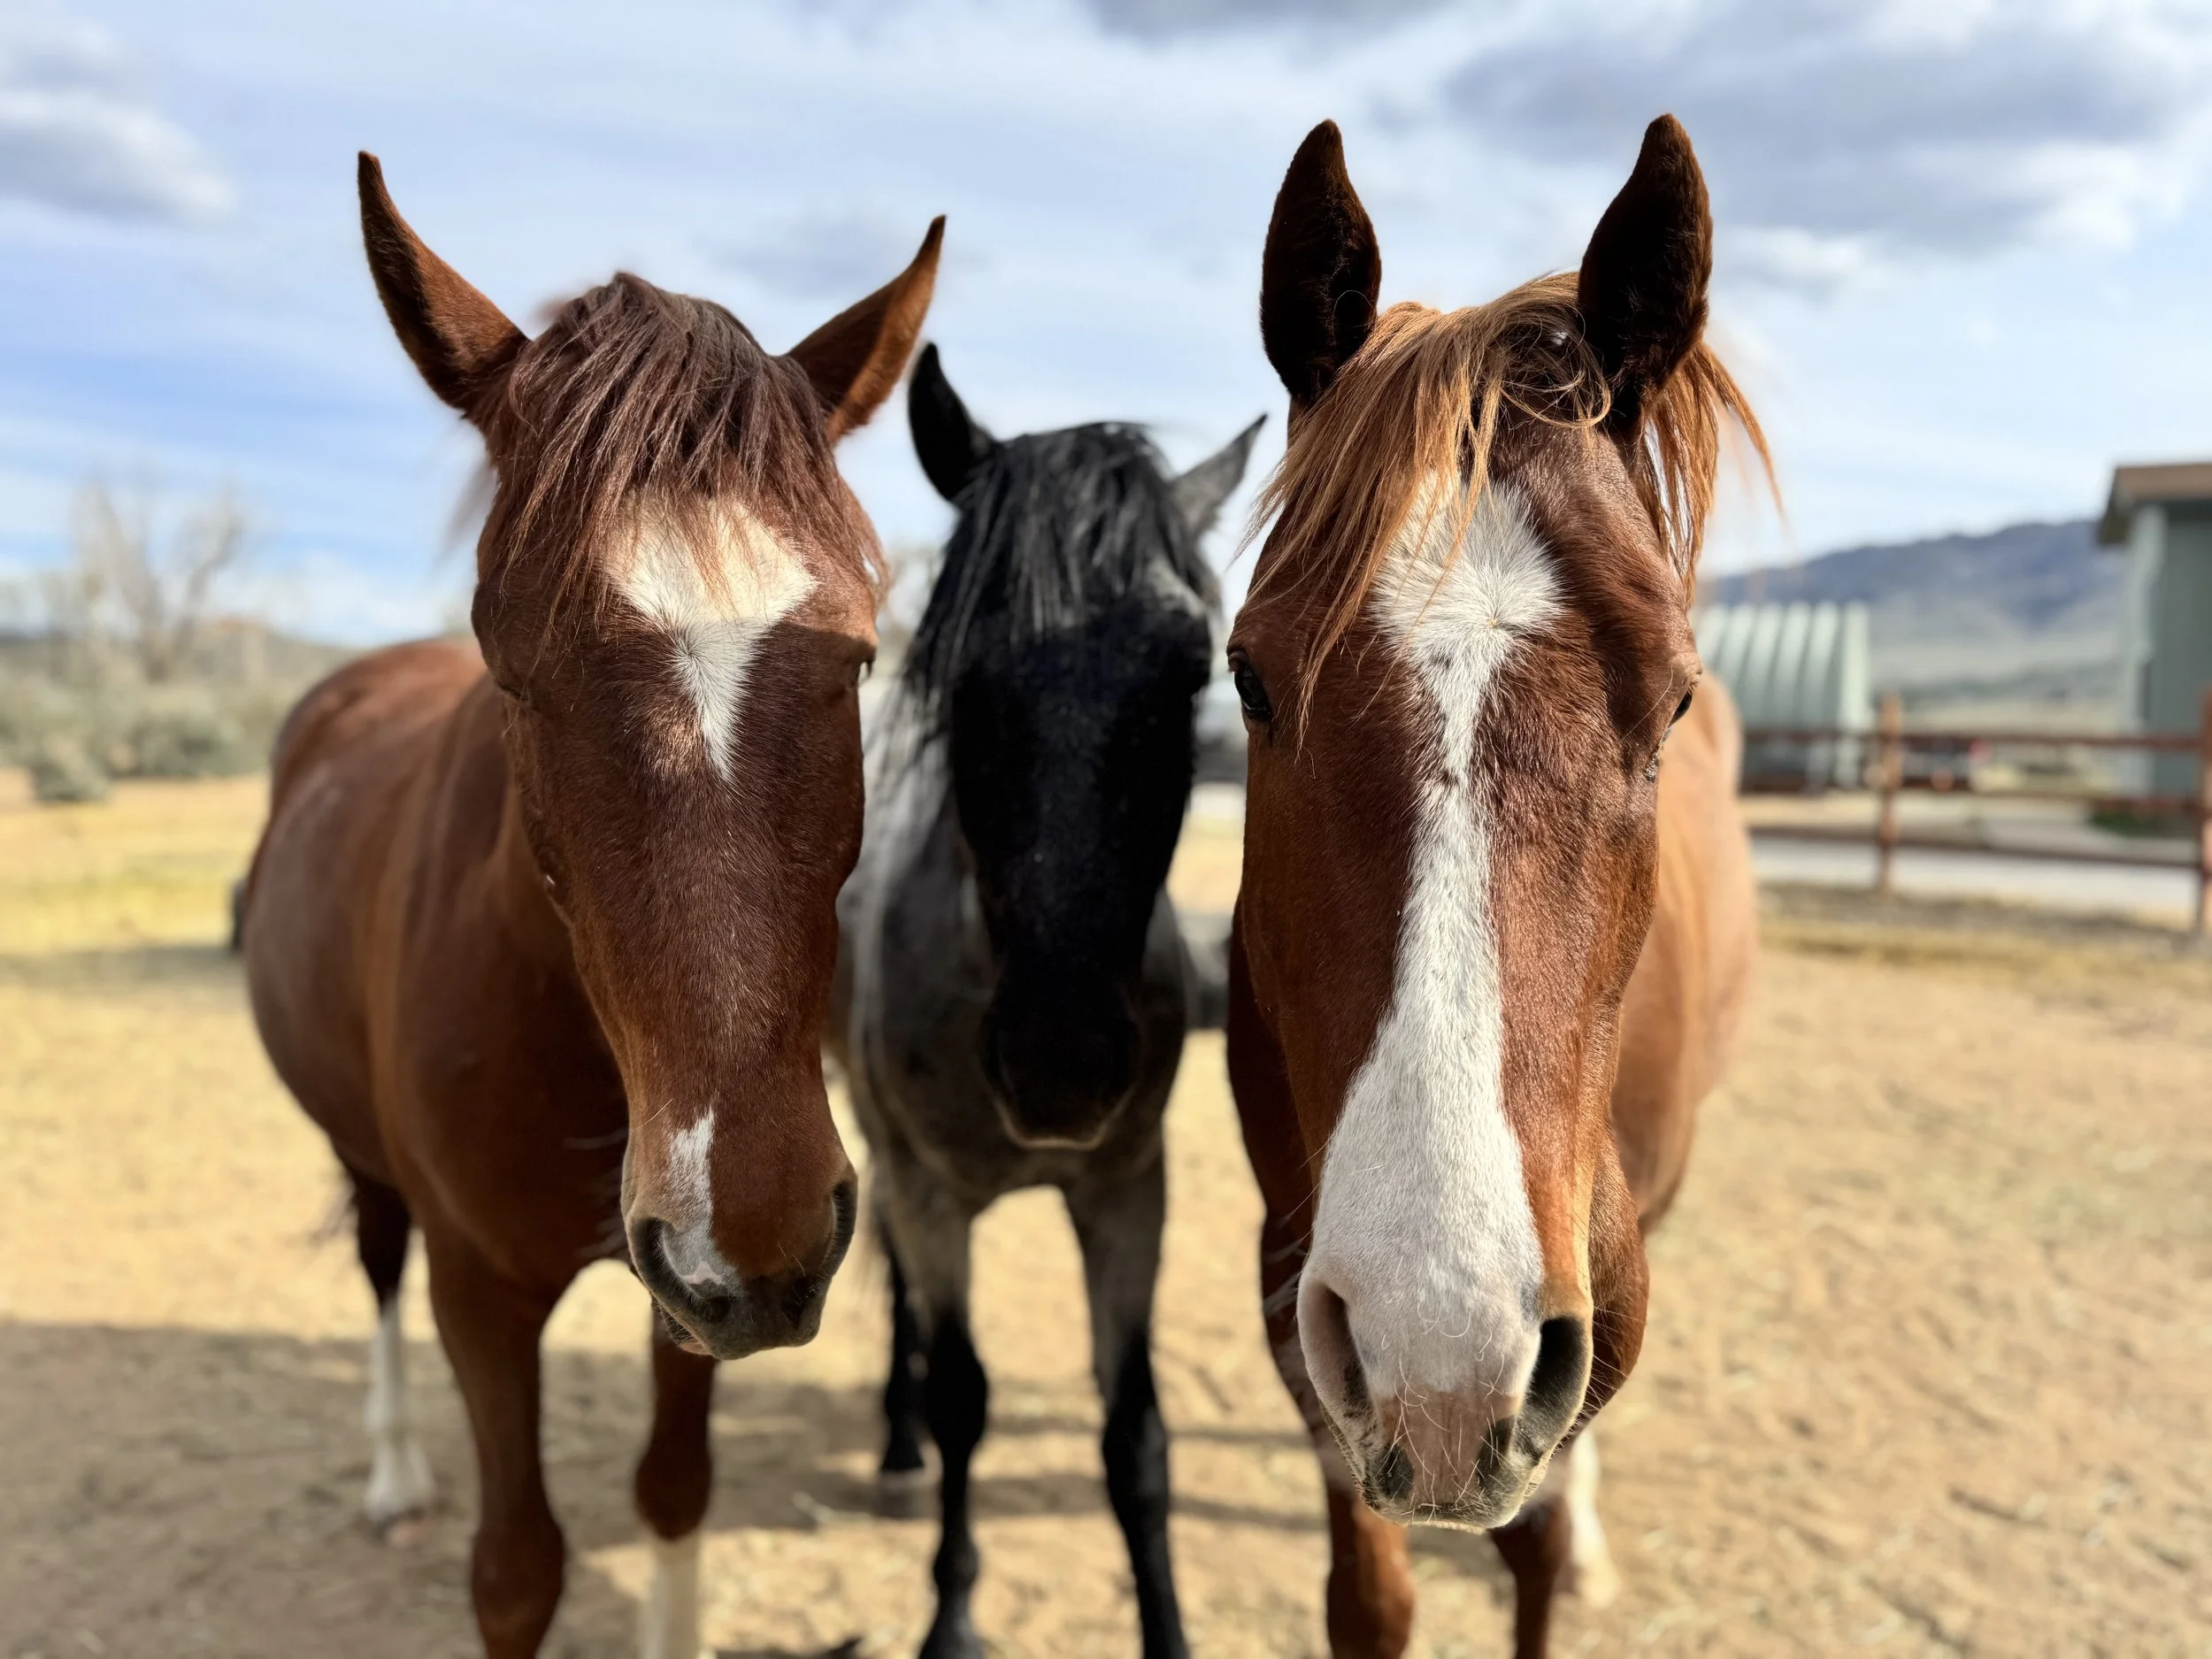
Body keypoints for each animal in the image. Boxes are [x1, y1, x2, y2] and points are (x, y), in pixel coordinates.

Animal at [240, 154, 939, 1659]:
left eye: (860, 653)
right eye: (514, 659)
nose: (761, 1228)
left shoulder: (687, 1293)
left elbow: (673, 1494)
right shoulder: (482, 1294)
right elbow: (518, 1569)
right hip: (364, 1158)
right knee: (373, 1261)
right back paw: (393, 1471)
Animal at [828, 344, 1260, 1659]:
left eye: (1186, 676)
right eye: (960, 676)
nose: (1061, 1064)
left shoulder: (1128, 1191)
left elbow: (1137, 1436)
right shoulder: (933, 1195)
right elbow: (966, 1397)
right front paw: (952, 1615)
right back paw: (895, 1439)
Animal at [1222, 116, 1763, 1659]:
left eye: (1673, 694)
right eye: (1250, 677)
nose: (1442, 1342)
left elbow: (1532, 1548)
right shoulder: (1305, 1305)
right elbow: (1368, 1592)